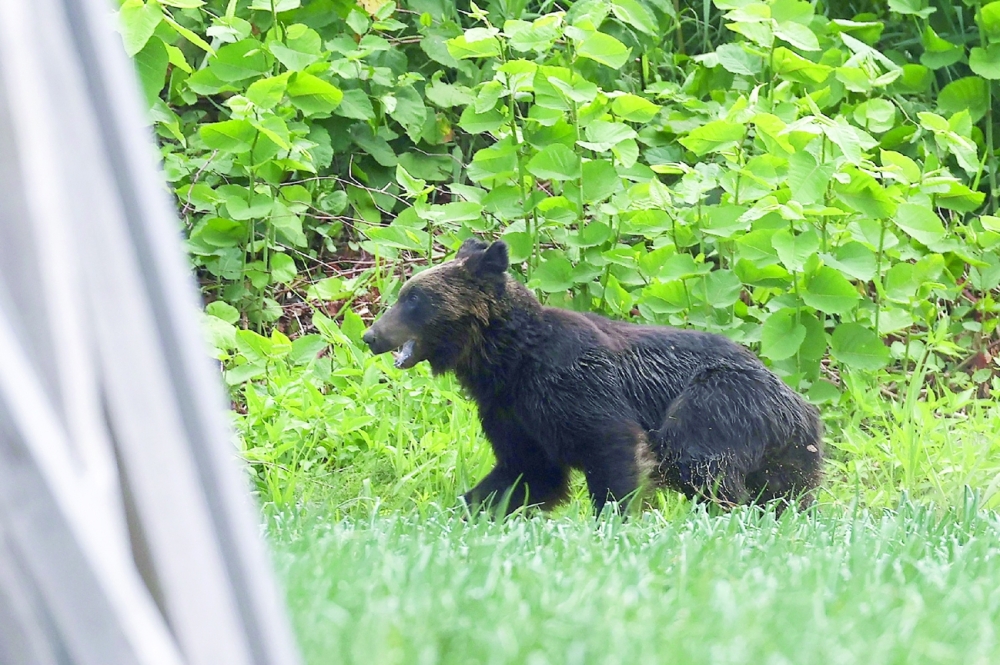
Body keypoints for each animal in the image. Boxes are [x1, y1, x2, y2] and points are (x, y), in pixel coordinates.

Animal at [362, 238, 824, 514]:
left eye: (413, 298)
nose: (370, 334)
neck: (507, 361)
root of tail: (801, 403)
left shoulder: (576, 386)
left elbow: (611, 447)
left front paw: (612, 519)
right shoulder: (512, 412)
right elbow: (525, 473)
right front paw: (466, 509)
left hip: (720, 401)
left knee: (699, 461)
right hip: (789, 453)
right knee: (786, 492)